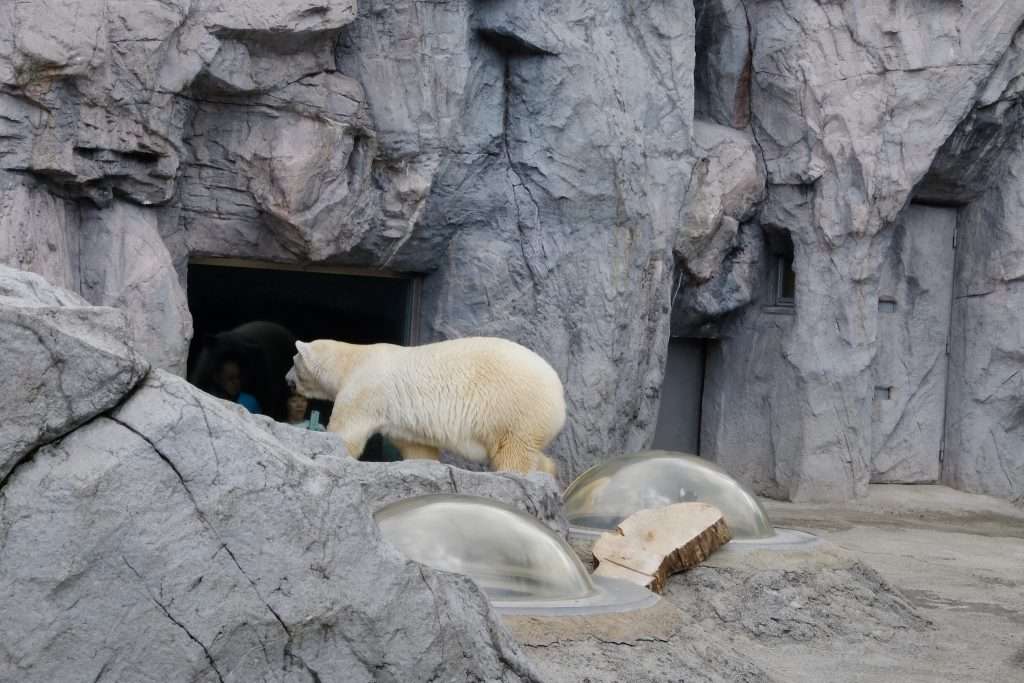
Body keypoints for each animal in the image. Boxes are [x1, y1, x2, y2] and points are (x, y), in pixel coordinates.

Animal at [284, 335, 565, 475]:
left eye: (294, 360)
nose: (286, 380)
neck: (352, 360)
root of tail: (559, 396)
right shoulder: (400, 418)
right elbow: (417, 447)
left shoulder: (365, 389)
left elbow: (347, 432)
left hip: (514, 406)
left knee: (513, 452)